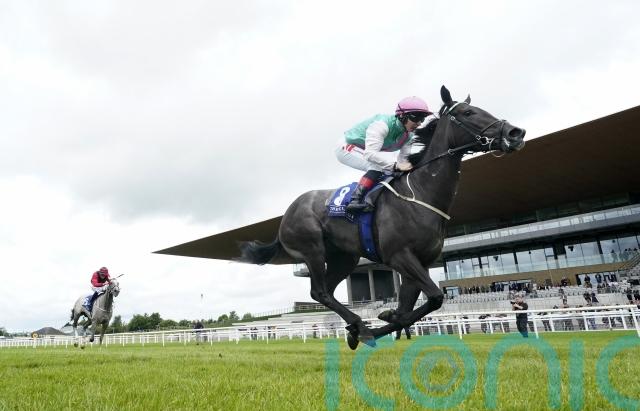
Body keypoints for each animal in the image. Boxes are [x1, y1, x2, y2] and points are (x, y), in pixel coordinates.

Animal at [239, 86, 525, 349]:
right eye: (468, 113)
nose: (515, 133)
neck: (420, 192)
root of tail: (285, 215)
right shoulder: (399, 256)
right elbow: (434, 297)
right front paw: (375, 325)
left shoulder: (419, 263)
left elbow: (410, 308)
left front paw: (382, 320)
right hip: (313, 249)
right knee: (319, 291)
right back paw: (361, 326)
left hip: (344, 257)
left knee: (327, 291)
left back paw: (358, 328)